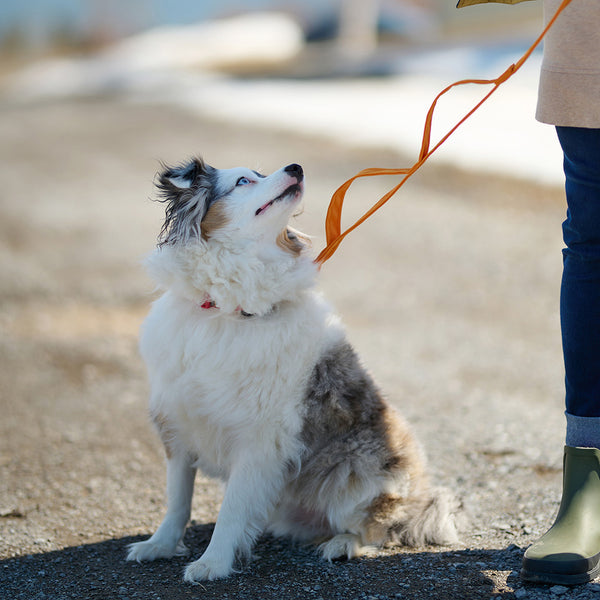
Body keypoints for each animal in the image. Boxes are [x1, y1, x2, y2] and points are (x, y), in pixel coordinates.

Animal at [125, 158, 454, 580]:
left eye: (259, 174)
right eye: (244, 181)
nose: (296, 167)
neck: (227, 312)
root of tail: (421, 498)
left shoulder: (259, 440)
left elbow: (231, 510)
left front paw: (213, 563)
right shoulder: (178, 422)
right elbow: (177, 500)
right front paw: (161, 545)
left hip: (358, 473)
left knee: (378, 529)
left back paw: (342, 544)